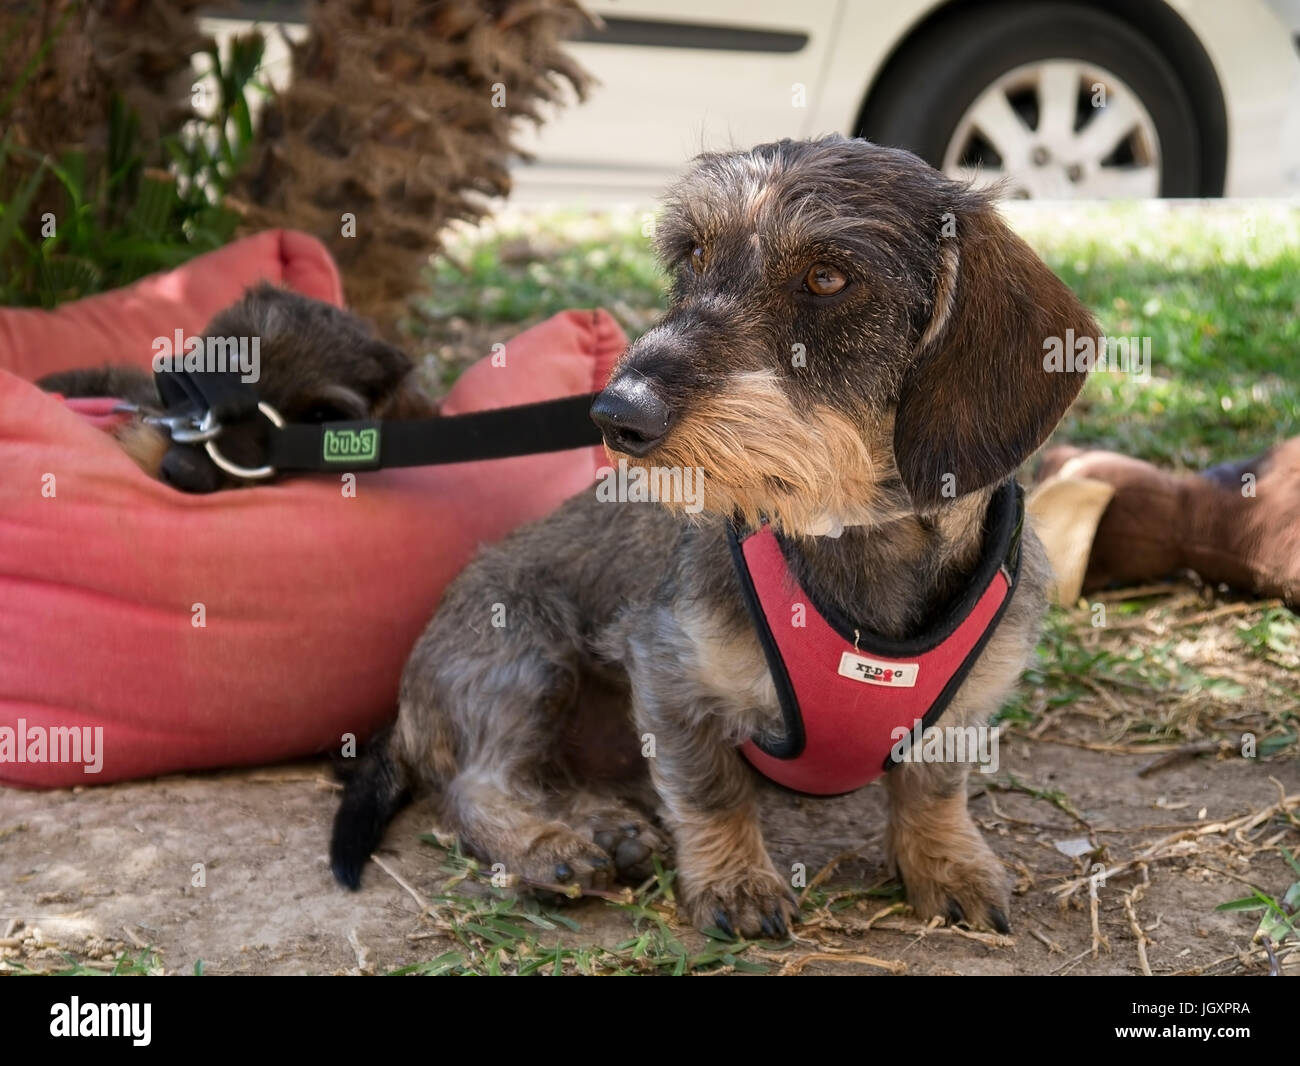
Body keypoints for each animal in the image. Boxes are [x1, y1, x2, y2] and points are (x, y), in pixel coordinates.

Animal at [327, 135, 1097, 941]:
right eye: (692, 255)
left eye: (828, 277)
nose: (616, 414)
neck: (854, 536)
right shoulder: (669, 673)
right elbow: (710, 789)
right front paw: (735, 880)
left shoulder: (965, 710)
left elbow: (933, 789)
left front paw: (947, 863)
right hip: (522, 647)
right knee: (478, 784)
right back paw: (546, 845)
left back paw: (605, 825)